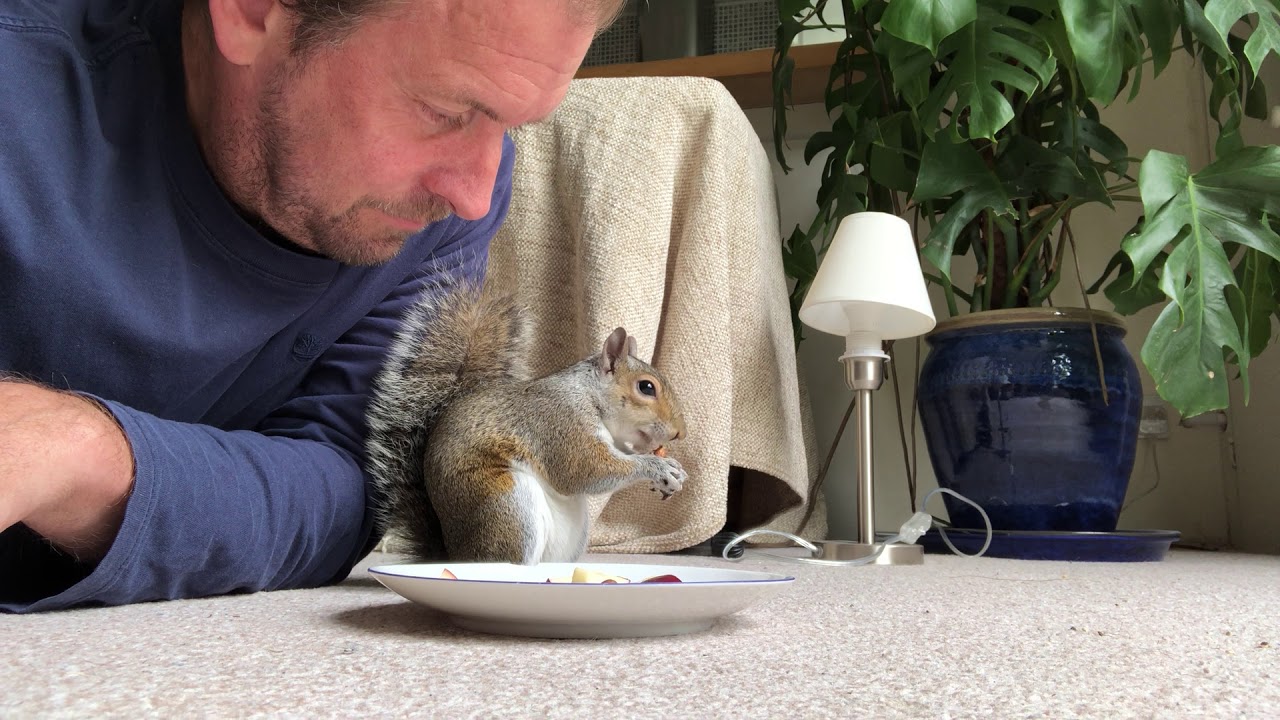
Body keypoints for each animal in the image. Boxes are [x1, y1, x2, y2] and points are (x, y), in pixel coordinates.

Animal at [363, 278, 688, 565]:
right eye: (646, 387)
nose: (679, 433)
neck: (588, 395)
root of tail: (456, 554)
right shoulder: (559, 422)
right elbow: (586, 470)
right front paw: (657, 467)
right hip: (506, 506)